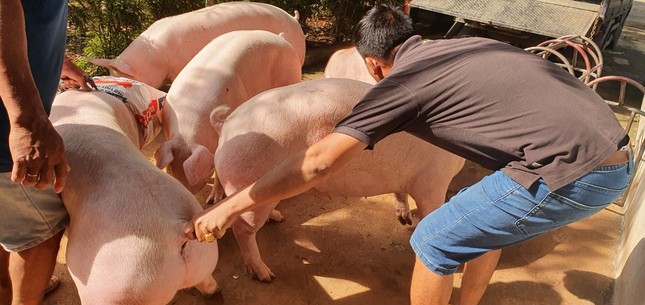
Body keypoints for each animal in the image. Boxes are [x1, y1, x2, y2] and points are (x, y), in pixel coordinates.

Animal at [155, 29, 302, 194]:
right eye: (171, 169)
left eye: (196, 176)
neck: (186, 135)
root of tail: (281, 39)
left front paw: (213, 198)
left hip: (291, 74)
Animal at [213, 78, 468, 280]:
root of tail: (227, 124)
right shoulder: (433, 179)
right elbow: (431, 210)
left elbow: (400, 192)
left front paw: (404, 220)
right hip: (249, 177)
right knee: (242, 229)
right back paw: (266, 275)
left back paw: (278, 218)